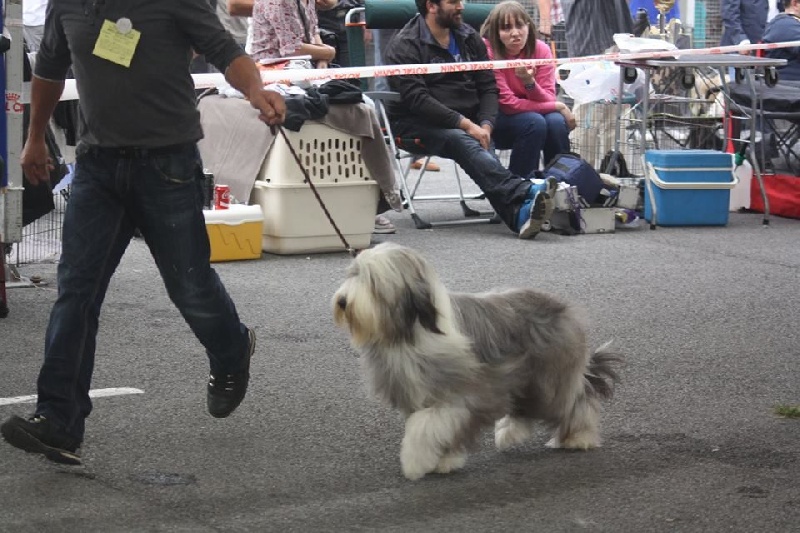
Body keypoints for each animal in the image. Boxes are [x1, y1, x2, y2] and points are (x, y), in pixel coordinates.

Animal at [332, 242, 622, 481]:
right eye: (352, 274)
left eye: (373, 281)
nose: (343, 301)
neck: (408, 332)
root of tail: (561, 306)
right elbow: (437, 429)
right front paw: (445, 461)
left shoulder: (462, 395)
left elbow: (425, 427)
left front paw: (415, 462)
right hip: (524, 376)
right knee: (525, 407)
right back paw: (510, 432)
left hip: (548, 376)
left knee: (574, 400)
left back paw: (579, 437)